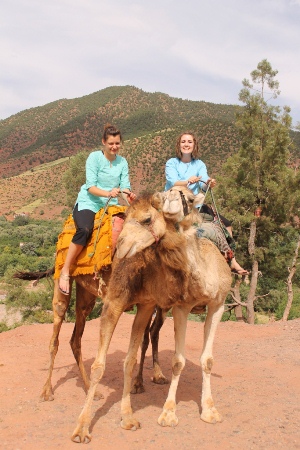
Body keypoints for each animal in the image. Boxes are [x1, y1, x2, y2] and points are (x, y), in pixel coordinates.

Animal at [71, 186, 231, 442]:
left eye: (147, 219)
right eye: (126, 217)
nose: (121, 247)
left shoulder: (218, 304)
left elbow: (206, 360)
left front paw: (210, 410)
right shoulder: (179, 306)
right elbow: (177, 361)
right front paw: (168, 414)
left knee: (149, 335)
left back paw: (151, 378)